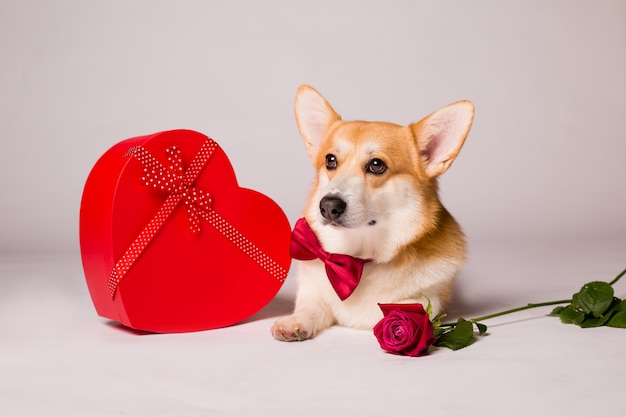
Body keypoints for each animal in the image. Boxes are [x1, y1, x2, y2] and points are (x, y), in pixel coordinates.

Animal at [270, 85, 472, 342]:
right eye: (330, 160)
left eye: (377, 165)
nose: (328, 206)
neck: (357, 259)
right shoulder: (312, 290)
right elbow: (310, 306)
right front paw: (295, 322)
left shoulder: (428, 298)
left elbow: (407, 307)